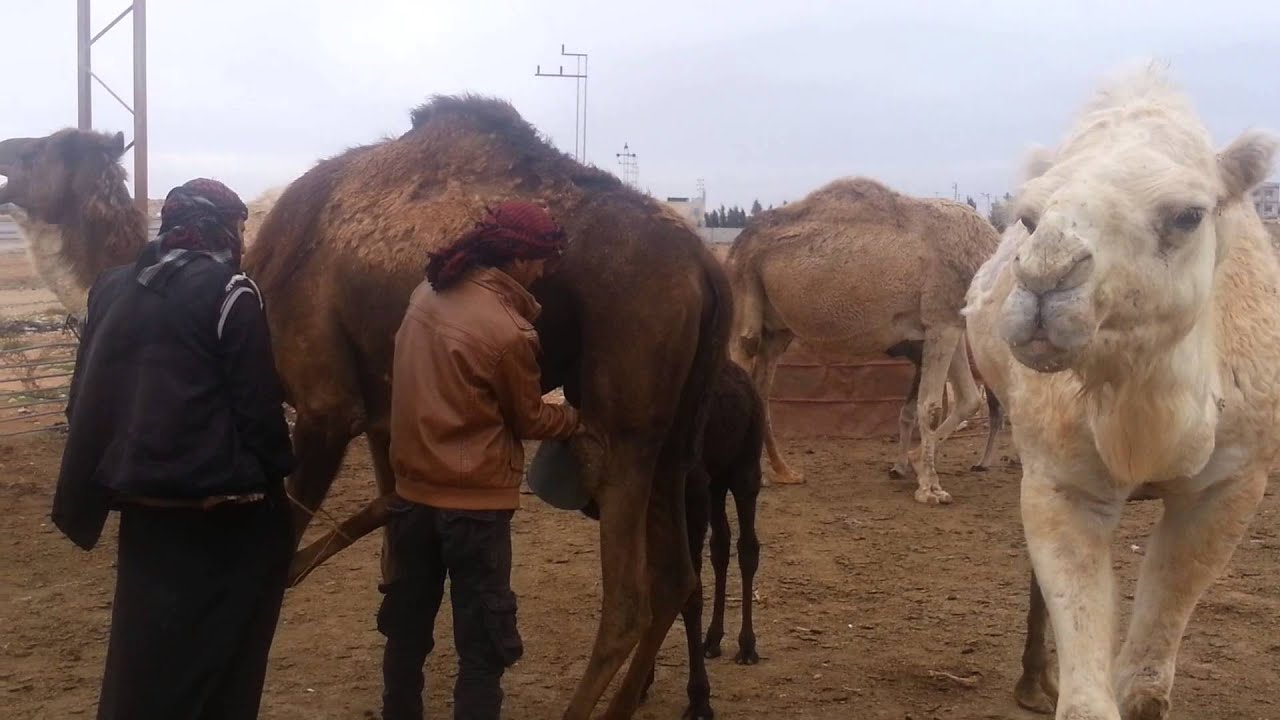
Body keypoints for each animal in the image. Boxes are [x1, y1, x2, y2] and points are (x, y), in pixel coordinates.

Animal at [727, 179, 1000, 503]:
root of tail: (736, 245)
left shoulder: (949, 321)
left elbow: (968, 399)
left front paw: (914, 462)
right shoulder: (941, 318)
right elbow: (932, 407)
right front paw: (930, 489)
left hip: (777, 328)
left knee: (761, 387)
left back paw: (784, 473)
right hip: (745, 295)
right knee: (742, 354)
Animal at [964, 64, 1279, 720]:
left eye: (1188, 215)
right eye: (1028, 217)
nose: (1044, 275)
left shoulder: (1232, 485)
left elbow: (1144, 686)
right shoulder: (1062, 480)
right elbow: (1088, 699)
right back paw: (1035, 681)